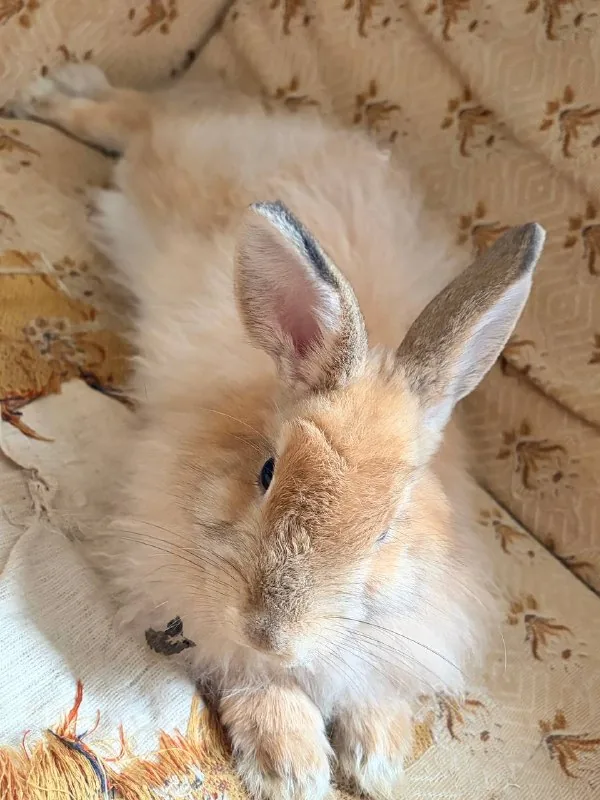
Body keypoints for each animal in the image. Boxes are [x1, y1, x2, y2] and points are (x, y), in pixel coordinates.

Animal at [10, 63, 545, 800]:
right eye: (267, 473)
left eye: (388, 530)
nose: (271, 633)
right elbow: (252, 679)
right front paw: (290, 765)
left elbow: (369, 684)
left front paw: (378, 756)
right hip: (165, 157)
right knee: (133, 117)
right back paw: (52, 95)